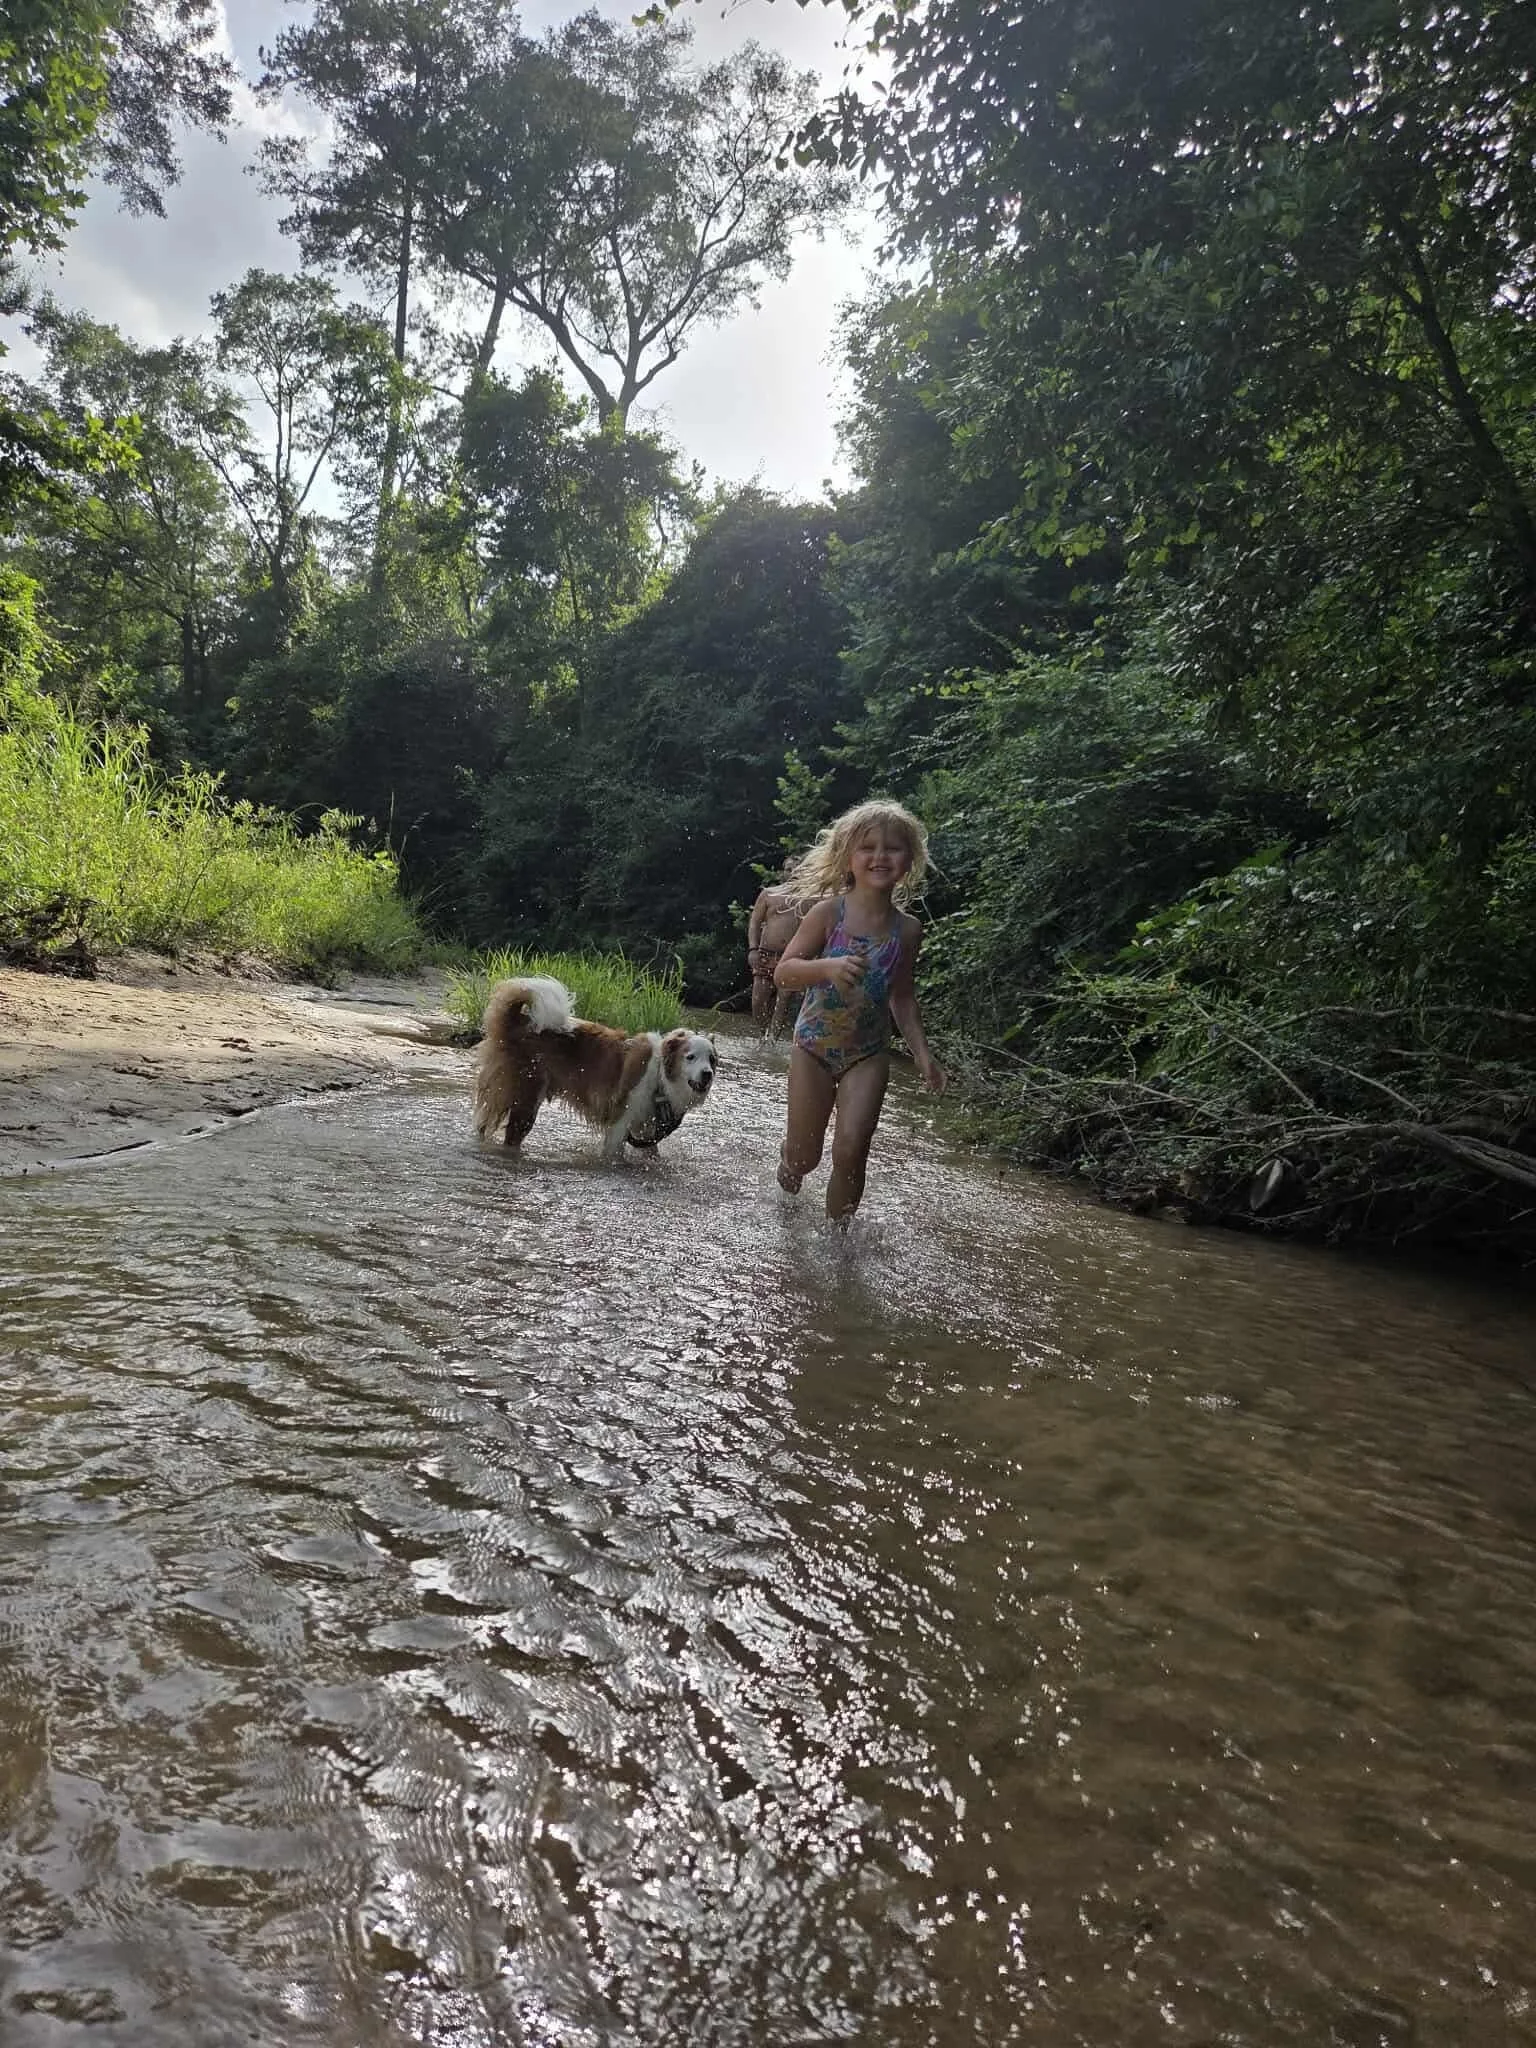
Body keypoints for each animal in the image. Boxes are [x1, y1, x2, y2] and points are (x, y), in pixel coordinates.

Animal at [472, 977, 717, 1162]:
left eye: (712, 1060)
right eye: (690, 1057)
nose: (707, 1074)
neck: (659, 1076)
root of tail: (518, 1022)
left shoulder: (646, 1129)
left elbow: (652, 1154)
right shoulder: (621, 1121)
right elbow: (614, 1154)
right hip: (526, 1098)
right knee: (511, 1135)